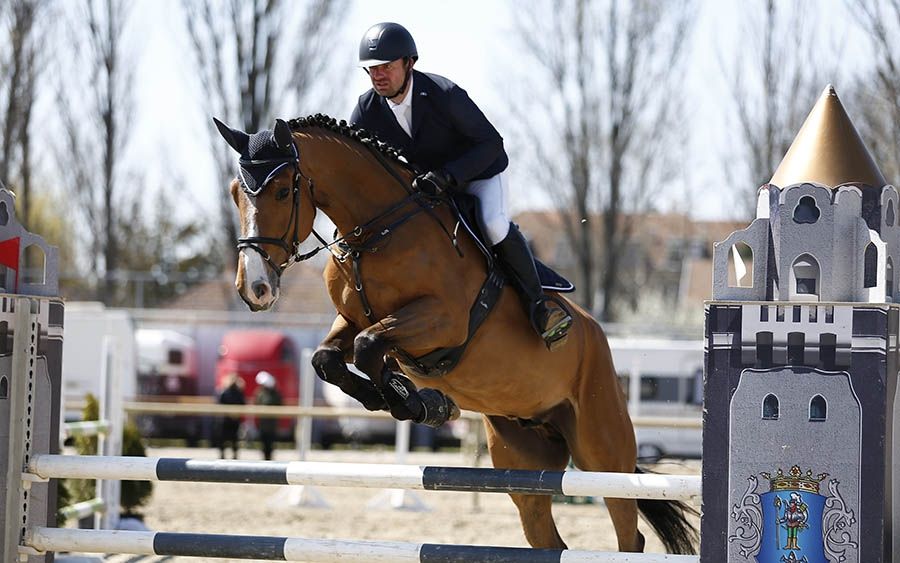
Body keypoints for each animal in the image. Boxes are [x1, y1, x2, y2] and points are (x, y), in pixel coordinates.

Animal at [213, 114, 696, 556]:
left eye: (281, 190)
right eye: (237, 192)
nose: (253, 288)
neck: (376, 232)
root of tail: (597, 336)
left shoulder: (442, 319)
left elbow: (371, 346)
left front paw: (416, 401)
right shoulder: (350, 320)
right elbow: (328, 358)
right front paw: (407, 398)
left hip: (602, 449)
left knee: (628, 532)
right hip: (525, 462)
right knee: (546, 534)